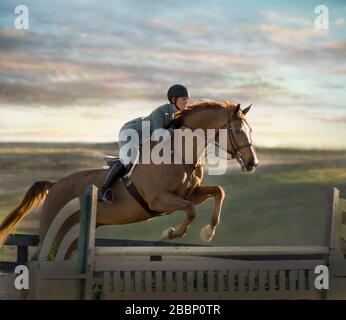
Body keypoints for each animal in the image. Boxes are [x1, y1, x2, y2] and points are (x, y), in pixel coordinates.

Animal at [0, 99, 258, 255]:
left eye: (251, 130)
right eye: (237, 130)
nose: (252, 163)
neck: (179, 154)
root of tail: (54, 185)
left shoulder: (190, 194)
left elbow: (217, 192)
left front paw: (208, 233)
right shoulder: (158, 199)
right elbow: (190, 210)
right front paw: (170, 233)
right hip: (53, 231)